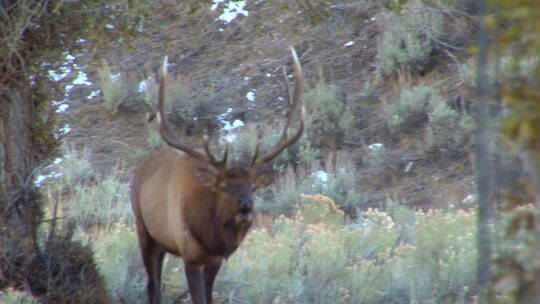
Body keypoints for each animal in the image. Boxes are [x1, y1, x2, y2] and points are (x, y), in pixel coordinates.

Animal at [131, 47, 304, 304]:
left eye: (253, 187)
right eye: (222, 187)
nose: (245, 206)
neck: (211, 239)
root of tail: (141, 165)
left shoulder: (215, 260)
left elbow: (210, 298)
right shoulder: (190, 254)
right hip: (143, 227)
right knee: (152, 284)